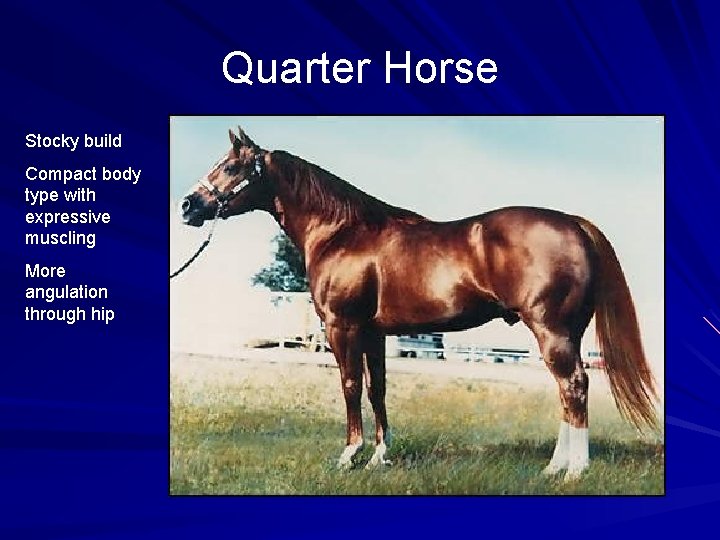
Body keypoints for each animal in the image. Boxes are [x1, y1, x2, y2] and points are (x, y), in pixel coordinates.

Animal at [179, 126, 658, 481]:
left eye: (231, 167)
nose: (188, 205)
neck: (342, 232)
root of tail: (573, 224)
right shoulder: (373, 333)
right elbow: (377, 390)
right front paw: (379, 456)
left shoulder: (342, 327)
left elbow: (350, 386)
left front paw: (349, 455)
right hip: (565, 333)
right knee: (566, 391)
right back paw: (554, 468)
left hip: (552, 330)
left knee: (575, 386)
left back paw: (574, 471)